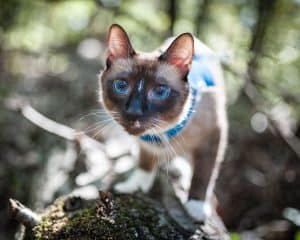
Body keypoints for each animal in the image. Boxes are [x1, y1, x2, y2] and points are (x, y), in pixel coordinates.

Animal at [98, 24, 227, 221]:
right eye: (121, 86)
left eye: (160, 91)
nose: (134, 111)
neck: (161, 134)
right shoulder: (144, 145)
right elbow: (144, 164)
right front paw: (135, 186)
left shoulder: (214, 136)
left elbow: (203, 176)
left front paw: (196, 206)